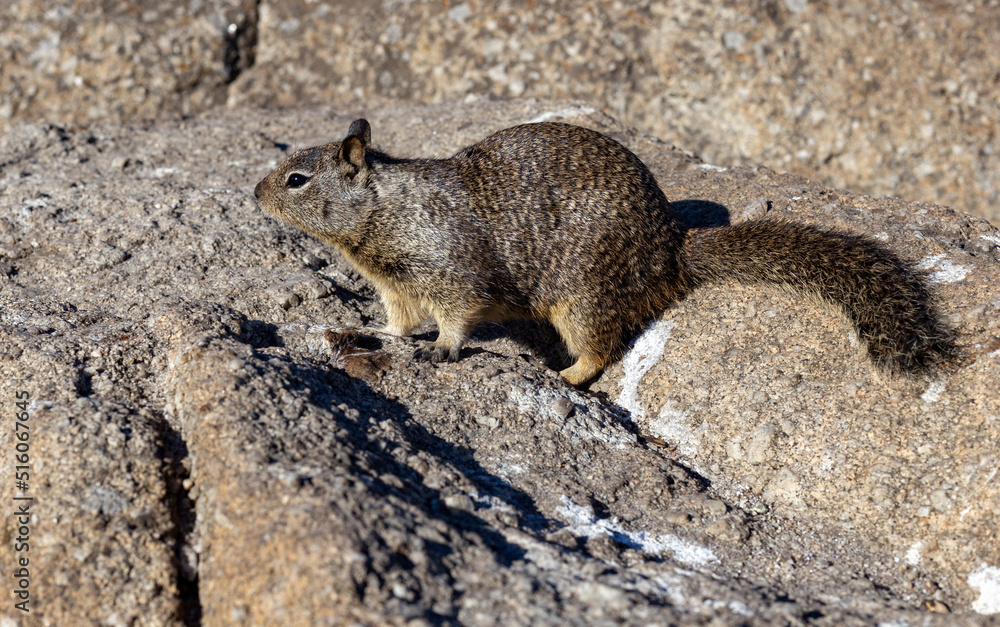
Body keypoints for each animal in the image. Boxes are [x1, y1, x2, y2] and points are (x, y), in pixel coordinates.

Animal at [254, 118, 952, 386]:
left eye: (297, 179)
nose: (254, 193)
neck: (384, 216)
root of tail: (672, 253)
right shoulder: (396, 284)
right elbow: (398, 320)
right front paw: (380, 334)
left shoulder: (452, 269)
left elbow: (458, 315)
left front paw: (445, 350)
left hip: (584, 298)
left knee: (603, 347)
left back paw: (565, 375)